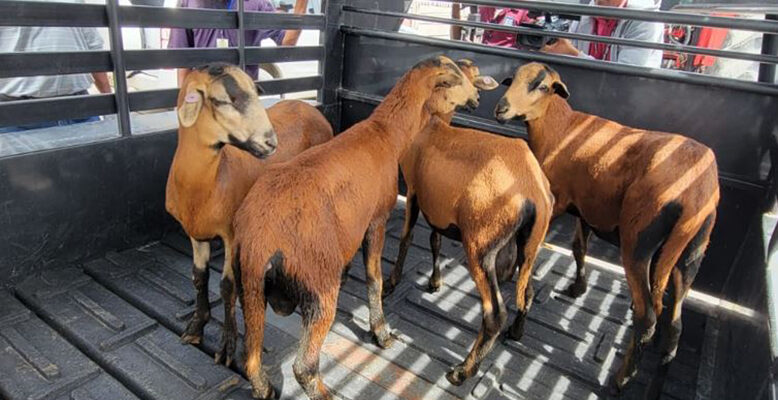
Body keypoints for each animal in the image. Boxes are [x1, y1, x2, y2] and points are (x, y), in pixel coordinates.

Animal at [165, 63, 333, 367]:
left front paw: (227, 346)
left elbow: (227, 286)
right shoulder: (195, 233)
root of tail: (310, 107)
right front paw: (196, 326)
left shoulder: (232, 234)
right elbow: (198, 277)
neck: (210, 181)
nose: (270, 142)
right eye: (222, 100)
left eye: (256, 93)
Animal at [233, 56, 480, 400]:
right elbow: (375, 279)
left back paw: (265, 389)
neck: (387, 134)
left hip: (249, 287)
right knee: (304, 365)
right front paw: (381, 331)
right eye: (455, 79)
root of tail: (259, 239)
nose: (478, 98)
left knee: (251, 357)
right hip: (318, 284)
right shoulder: (376, 219)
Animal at [383, 59, 555, 385]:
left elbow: (406, 238)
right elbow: (435, 241)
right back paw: (516, 332)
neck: (431, 125)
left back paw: (463, 371)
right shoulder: (436, 205)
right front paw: (435, 281)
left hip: (481, 245)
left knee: (494, 313)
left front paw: (391, 283)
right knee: (527, 292)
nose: (476, 100)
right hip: (529, 246)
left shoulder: (412, 191)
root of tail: (534, 190)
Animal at [495, 62, 720, 398]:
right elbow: (579, 248)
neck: (559, 127)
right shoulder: (587, 207)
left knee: (647, 316)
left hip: (639, 239)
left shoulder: (557, 200)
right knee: (674, 325)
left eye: (542, 86)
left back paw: (621, 379)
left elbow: (532, 249)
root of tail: (696, 194)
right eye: (512, 80)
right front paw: (578, 288)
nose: (501, 109)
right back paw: (654, 383)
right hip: (691, 251)